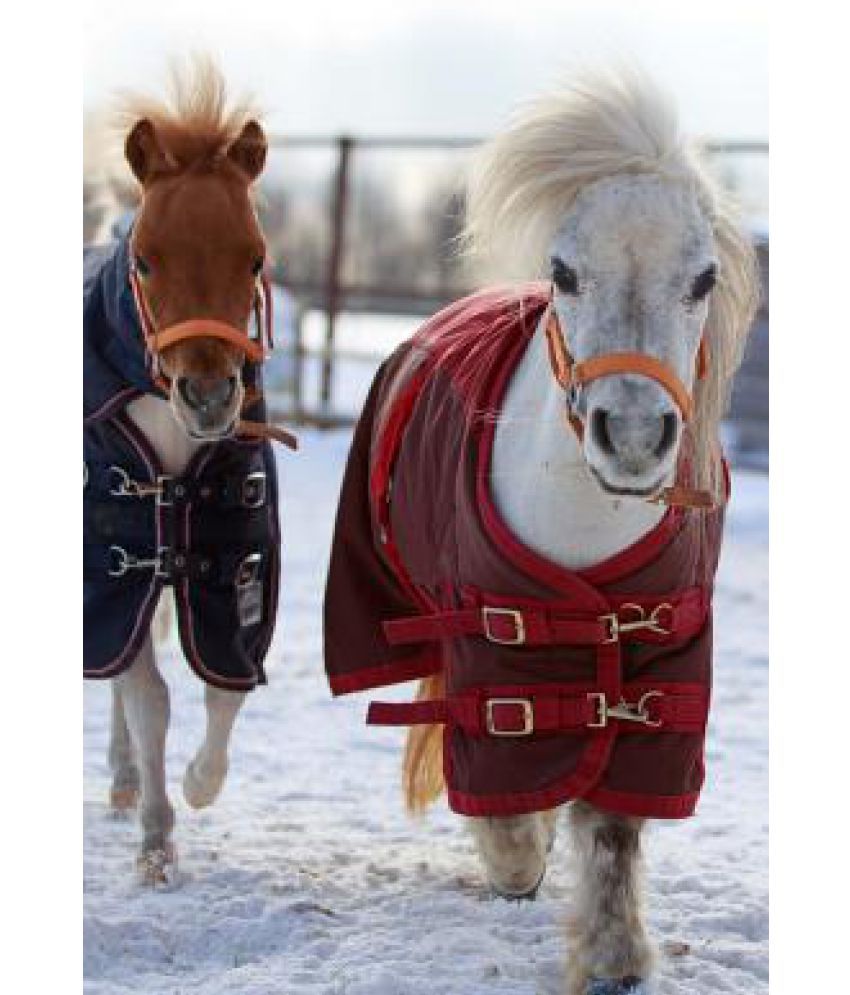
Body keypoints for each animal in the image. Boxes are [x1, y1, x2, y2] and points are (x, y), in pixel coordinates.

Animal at [84, 60, 292, 884]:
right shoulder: (118, 555)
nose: (207, 397)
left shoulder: (229, 551)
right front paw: (156, 841)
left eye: (255, 257)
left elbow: (224, 686)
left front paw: (201, 783)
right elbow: (149, 696)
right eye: (146, 259)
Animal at [323, 71, 758, 994]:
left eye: (703, 278)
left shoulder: (667, 651)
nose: (633, 436)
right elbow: (508, 796)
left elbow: (616, 822)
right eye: (564, 271)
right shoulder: (493, 638)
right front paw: (514, 859)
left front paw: (614, 954)